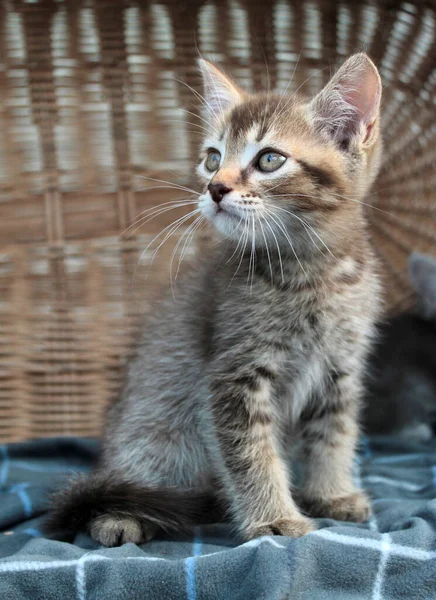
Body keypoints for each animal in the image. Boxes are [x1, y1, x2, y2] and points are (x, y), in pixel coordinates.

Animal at [46, 54, 382, 548]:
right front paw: (274, 520)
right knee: (122, 484)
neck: (310, 275)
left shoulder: (340, 369)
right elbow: (251, 454)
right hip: (152, 431)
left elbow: (334, 435)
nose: (215, 188)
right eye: (213, 158)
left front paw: (331, 493)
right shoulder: (234, 374)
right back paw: (121, 516)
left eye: (269, 159)